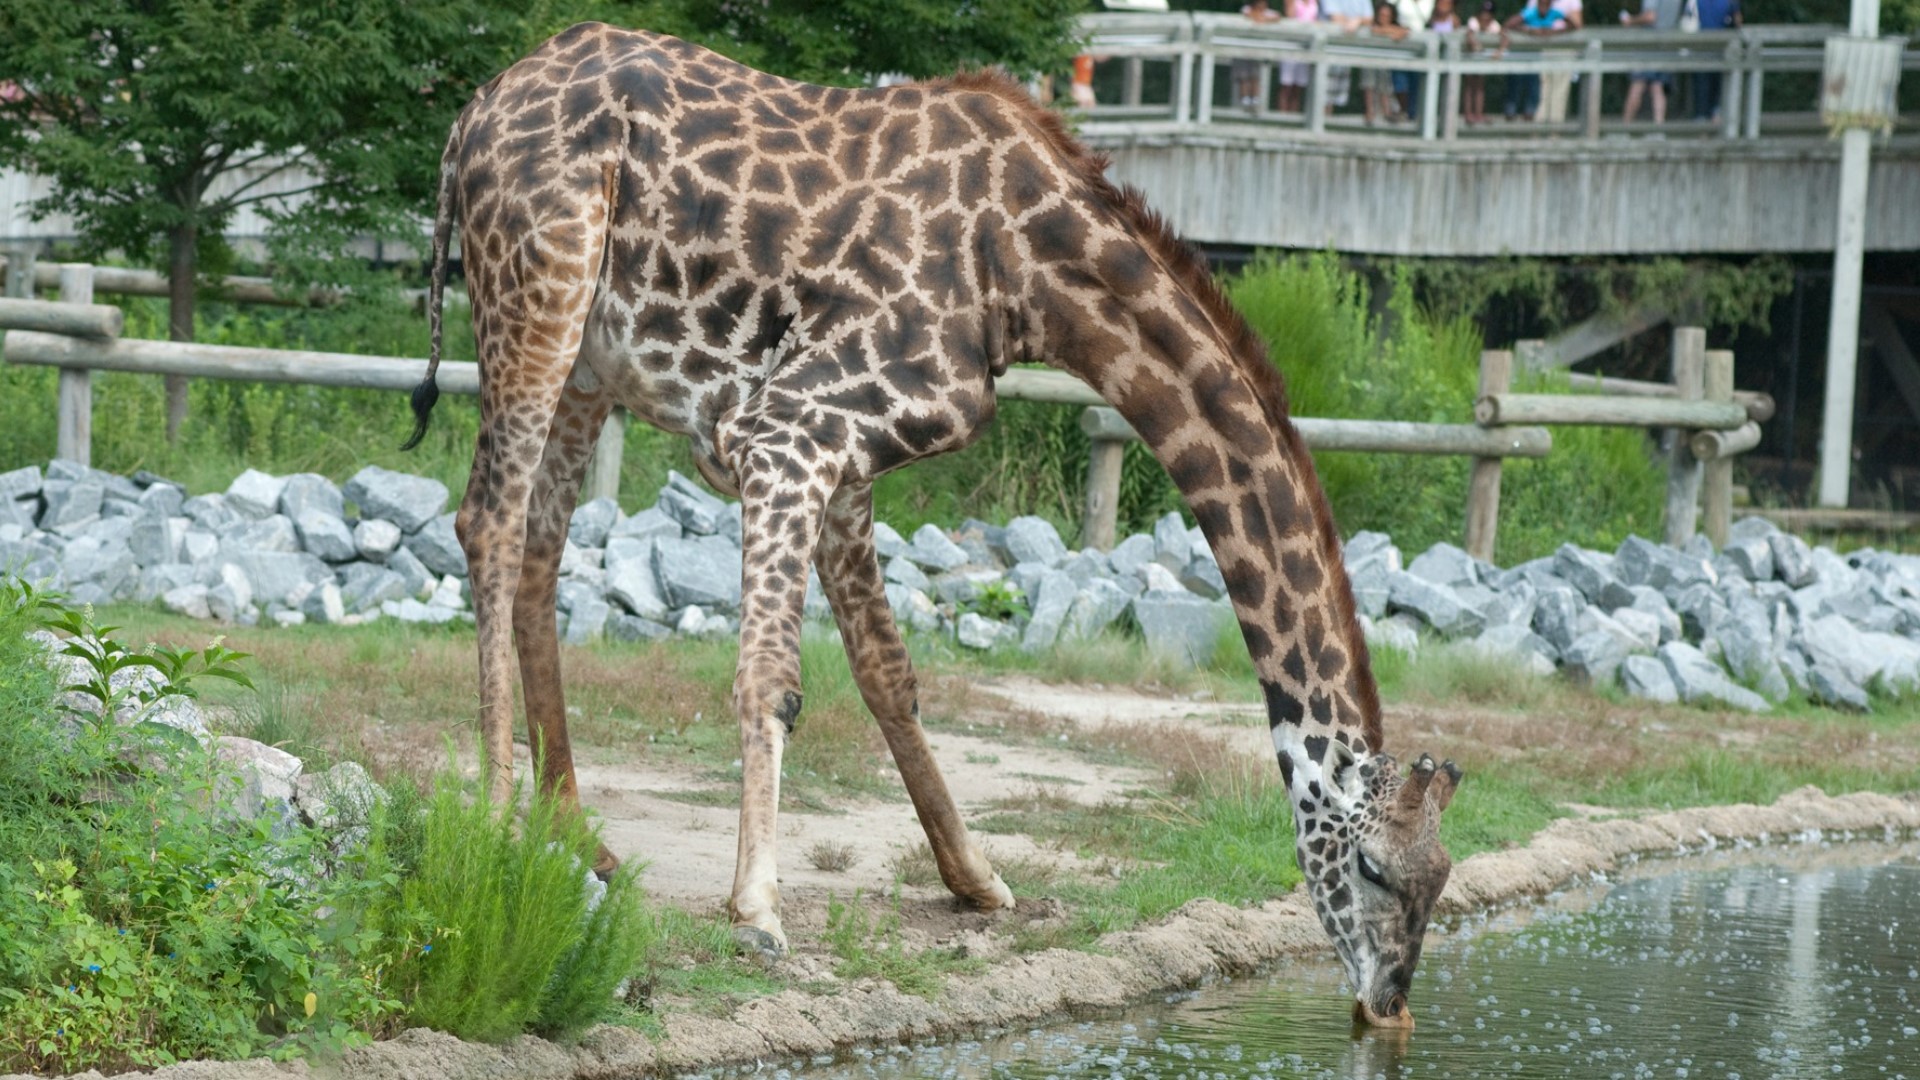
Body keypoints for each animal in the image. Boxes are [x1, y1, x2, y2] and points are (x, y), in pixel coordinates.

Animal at [404, 22, 1463, 1028]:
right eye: (1373, 869)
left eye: (1444, 878)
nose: (1390, 1002)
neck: (1028, 274)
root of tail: (468, 121)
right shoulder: (787, 431)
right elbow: (774, 680)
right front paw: (758, 911)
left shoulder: (839, 456)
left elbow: (888, 670)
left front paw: (977, 879)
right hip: (539, 293)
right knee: (488, 520)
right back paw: (498, 820)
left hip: (591, 360)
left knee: (540, 546)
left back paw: (578, 835)